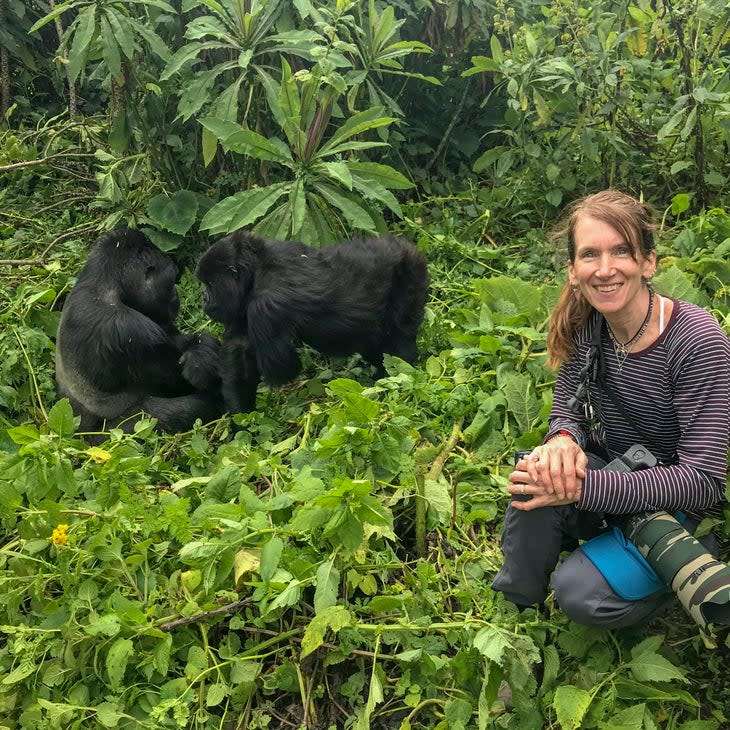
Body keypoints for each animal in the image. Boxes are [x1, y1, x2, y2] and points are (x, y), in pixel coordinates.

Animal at [56, 228, 222, 438]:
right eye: (170, 281)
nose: (176, 297)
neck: (103, 285)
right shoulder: (129, 329)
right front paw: (202, 361)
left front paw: (202, 350)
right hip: (103, 438)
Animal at [196, 230, 430, 412]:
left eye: (210, 284)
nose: (204, 299)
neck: (256, 268)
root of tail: (405, 245)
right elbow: (239, 352)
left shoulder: (266, 306)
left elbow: (282, 368)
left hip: (411, 273)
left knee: (398, 340)